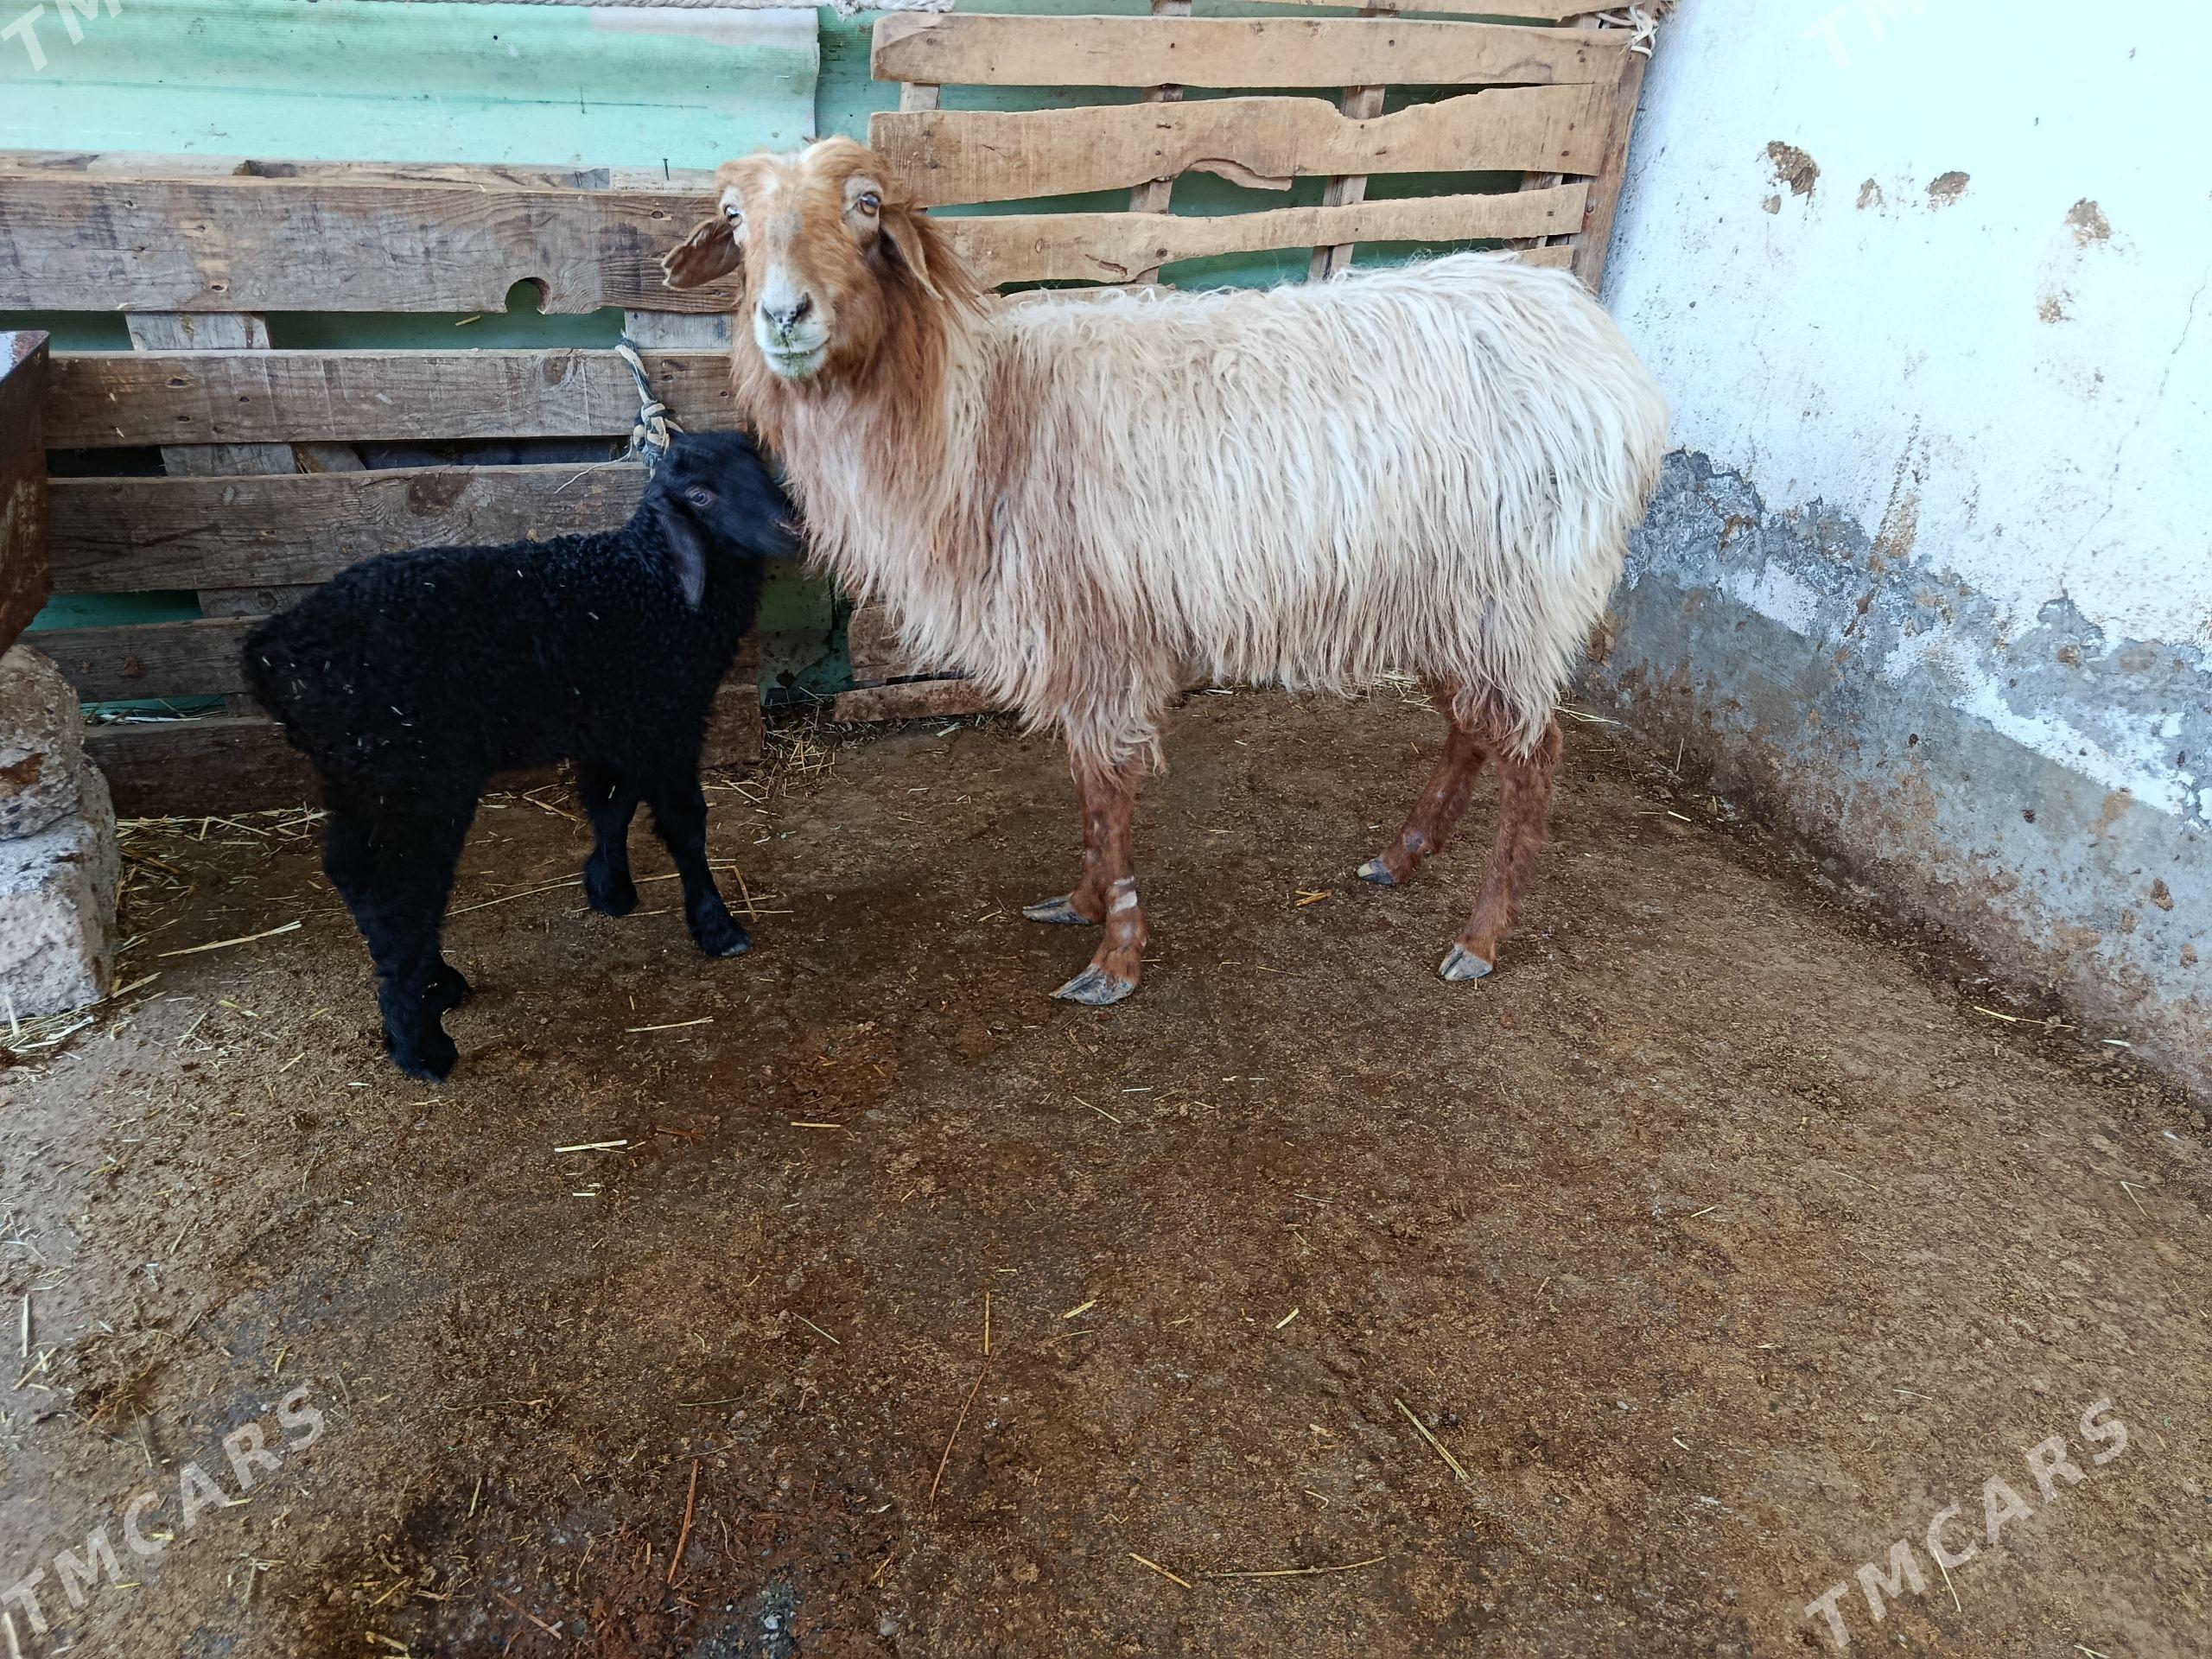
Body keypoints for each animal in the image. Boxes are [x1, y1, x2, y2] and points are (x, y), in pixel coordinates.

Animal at [241, 430, 799, 1079]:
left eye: (762, 468)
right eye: (700, 495)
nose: (793, 527)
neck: (649, 579)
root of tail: (271, 652)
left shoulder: (615, 723)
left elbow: (610, 805)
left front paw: (609, 890)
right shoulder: (665, 721)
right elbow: (685, 826)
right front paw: (716, 925)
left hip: (355, 776)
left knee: (351, 871)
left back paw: (436, 983)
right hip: (415, 778)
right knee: (400, 892)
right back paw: (421, 1044)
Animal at [663, 137, 1669, 1006]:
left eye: (866, 205)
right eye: (734, 219)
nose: (784, 317)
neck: (975, 408)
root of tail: (1597, 341)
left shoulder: (1099, 632)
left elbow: (1108, 796)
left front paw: (1114, 956)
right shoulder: (1078, 637)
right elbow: (1086, 791)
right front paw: (1080, 904)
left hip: (1519, 599)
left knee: (1534, 757)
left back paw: (1480, 937)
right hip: (1450, 602)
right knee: (1469, 730)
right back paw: (1402, 856)